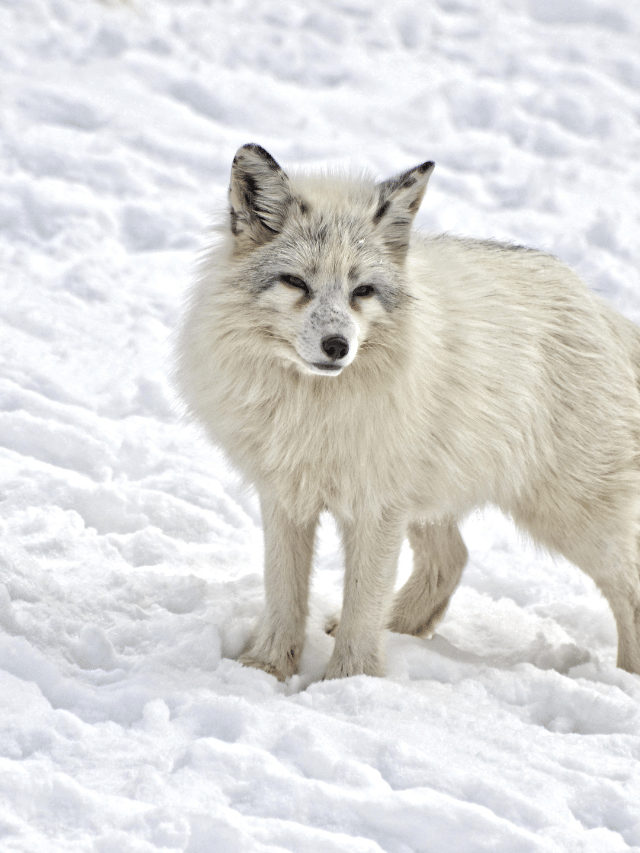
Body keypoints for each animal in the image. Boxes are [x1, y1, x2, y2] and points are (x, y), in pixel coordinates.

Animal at [175, 142, 640, 681]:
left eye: (362, 291)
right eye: (295, 283)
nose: (338, 346)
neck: (313, 409)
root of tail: (601, 308)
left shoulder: (375, 506)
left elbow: (363, 603)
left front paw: (349, 682)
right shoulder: (287, 495)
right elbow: (285, 594)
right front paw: (265, 669)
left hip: (570, 517)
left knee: (629, 586)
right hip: (430, 500)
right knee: (453, 559)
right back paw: (398, 628)